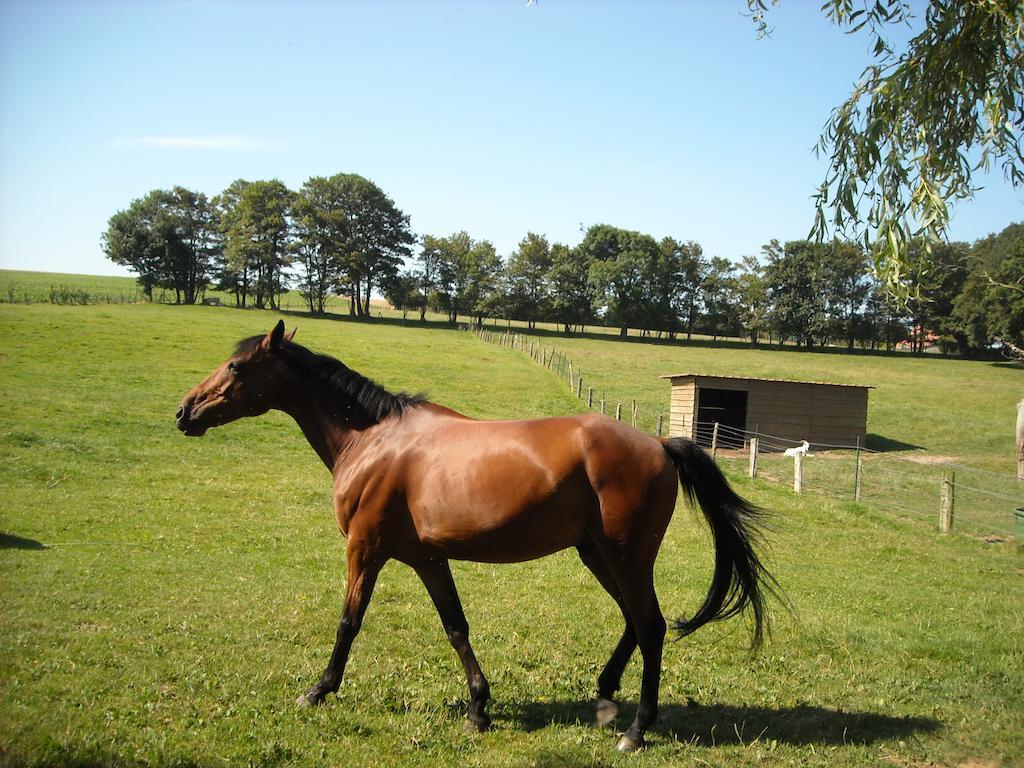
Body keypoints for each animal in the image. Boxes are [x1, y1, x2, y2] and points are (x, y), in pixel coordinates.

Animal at [178, 321, 774, 753]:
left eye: (236, 365)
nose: (185, 411)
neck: (371, 441)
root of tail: (659, 445)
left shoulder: (364, 550)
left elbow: (349, 622)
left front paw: (318, 690)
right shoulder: (427, 559)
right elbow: (455, 627)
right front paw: (478, 709)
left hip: (624, 556)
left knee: (649, 625)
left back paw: (635, 729)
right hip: (598, 554)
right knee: (635, 620)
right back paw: (605, 698)